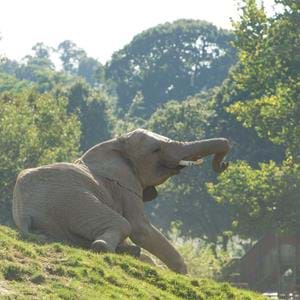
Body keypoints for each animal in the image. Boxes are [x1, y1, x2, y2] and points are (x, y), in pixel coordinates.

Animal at [12, 129, 230, 274]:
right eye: (156, 150)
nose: (225, 164)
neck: (116, 142)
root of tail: (24, 214)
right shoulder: (126, 186)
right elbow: (140, 228)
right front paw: (183, 273)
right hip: (72, 199)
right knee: (122, 224)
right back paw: (106, 248)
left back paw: (131, 252)